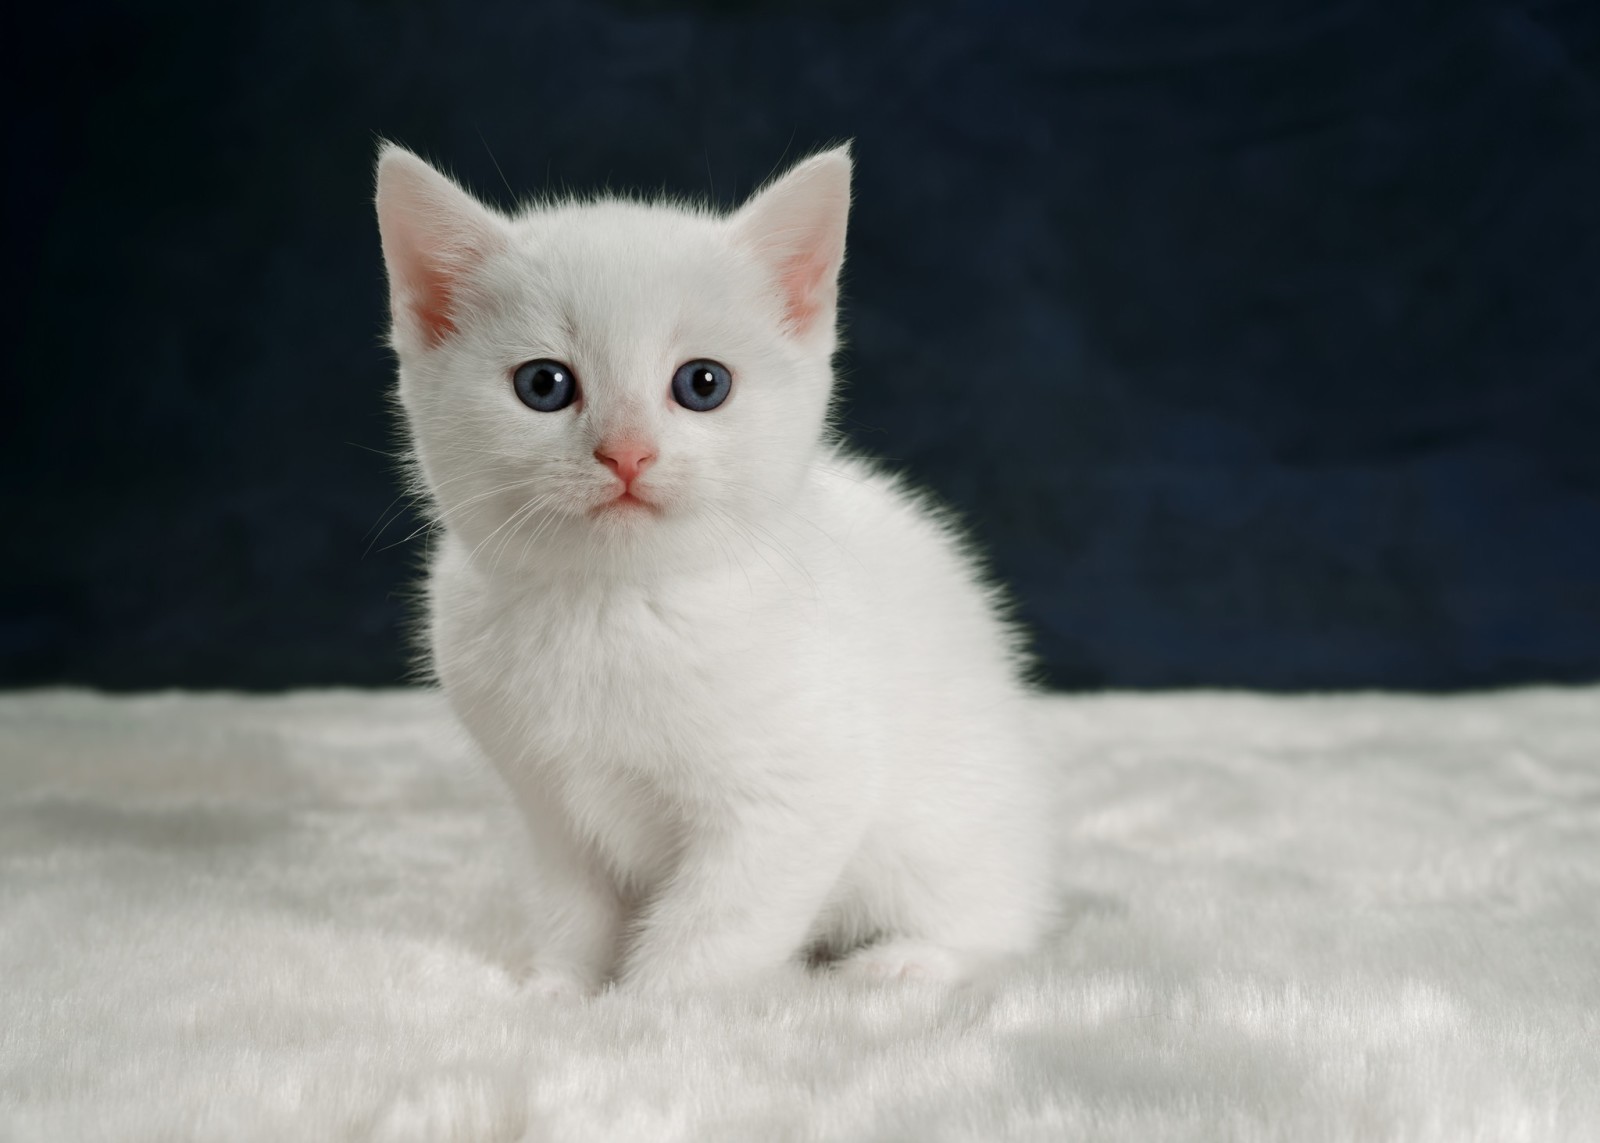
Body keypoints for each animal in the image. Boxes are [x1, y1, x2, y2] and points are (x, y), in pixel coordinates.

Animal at [372, 142, 1049, 986]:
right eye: (544, 384)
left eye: (703, 383)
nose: (627, 452)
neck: (614, 608)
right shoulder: (552, 812)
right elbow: (573, 913)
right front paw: (558, 991)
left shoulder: (793, 801)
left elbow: (711, 932)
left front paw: (650, 1007)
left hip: (954, 832)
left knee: (998, 921)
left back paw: (900, 963)